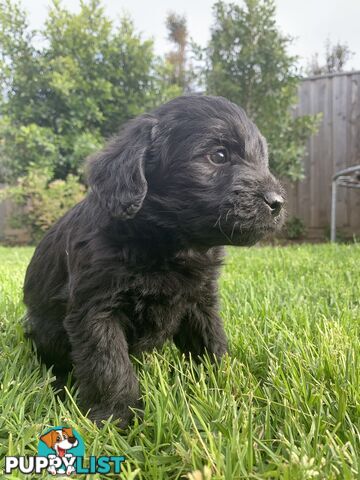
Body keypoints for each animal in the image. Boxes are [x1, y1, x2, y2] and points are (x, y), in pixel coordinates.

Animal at [23, 95, 286, 426]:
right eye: (219, 155)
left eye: (262, 159)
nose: (278, 202)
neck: (167, 244)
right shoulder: (95, 311)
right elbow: (110, 366)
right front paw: (116, 418)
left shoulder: (200, 302)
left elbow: (212, 342)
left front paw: (224, 388)